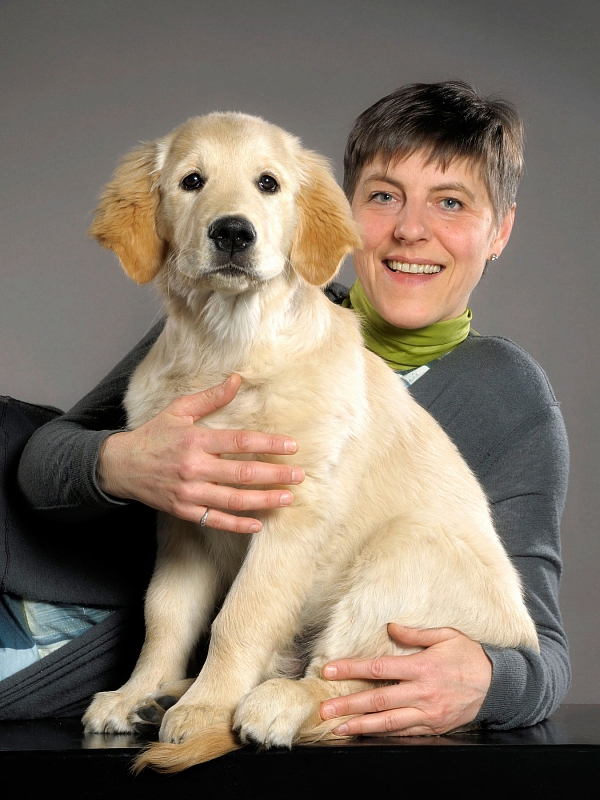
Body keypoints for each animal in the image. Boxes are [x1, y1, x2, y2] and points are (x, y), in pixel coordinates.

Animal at [82, 112, 536, 768]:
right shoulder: (181, 511)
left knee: (353, 686)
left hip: (410, 549)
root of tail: (522, 633)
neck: (228, 347)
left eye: (268, 184)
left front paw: (207, 708)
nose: (232, 232)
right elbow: (165, 613)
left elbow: (240, 615)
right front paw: (137, 691)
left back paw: (272, 705)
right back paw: (166, 696)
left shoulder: (294, 509)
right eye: (192, 181)